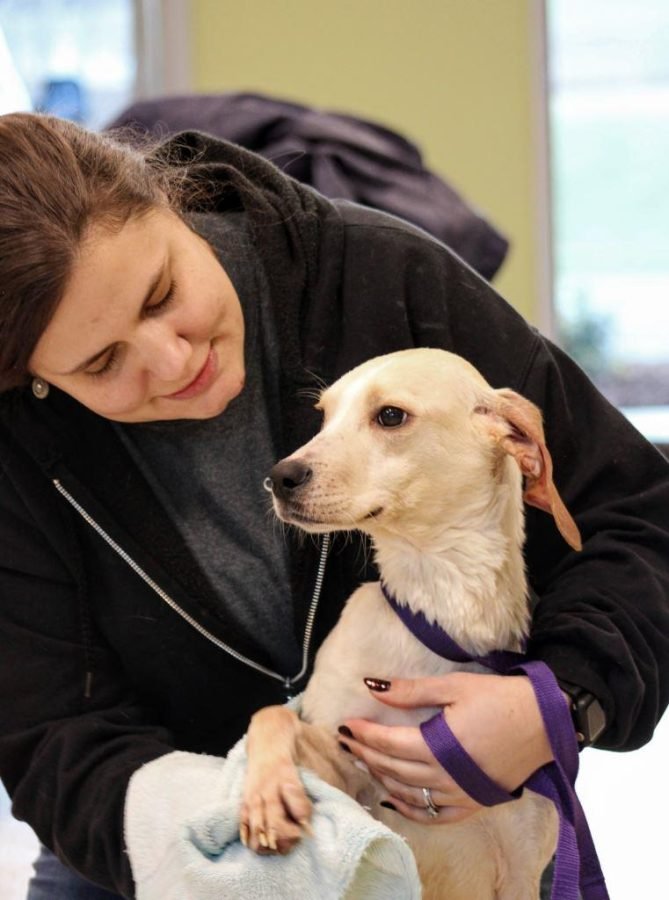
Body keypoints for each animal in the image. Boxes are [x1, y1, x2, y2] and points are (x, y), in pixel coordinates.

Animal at [240, 350, 580, 900]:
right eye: (323, 416)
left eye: (390, 416)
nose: (279, 476)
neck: (440, 615)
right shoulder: (349, 774)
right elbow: (274, 716)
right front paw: (269, 797)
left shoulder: (521, 867)